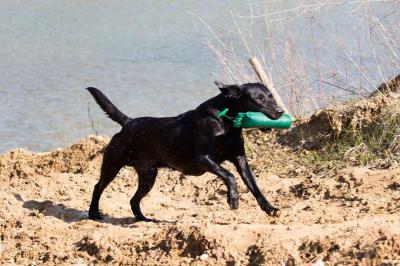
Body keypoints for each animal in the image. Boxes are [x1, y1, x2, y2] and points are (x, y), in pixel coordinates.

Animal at [86, 82, 282, 221]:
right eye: (258, 99)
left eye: (271, 96)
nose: (280, 112)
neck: (225, 123)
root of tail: (128, 122)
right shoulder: (202, 158)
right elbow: (229, 175)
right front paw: (233, 199)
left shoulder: (240, 159)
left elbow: (254, 186)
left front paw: (270, 208)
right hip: (112, 165)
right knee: (98, 187)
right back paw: (94, 213)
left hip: (148, 176)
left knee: (133, 200)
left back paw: (144, 219)